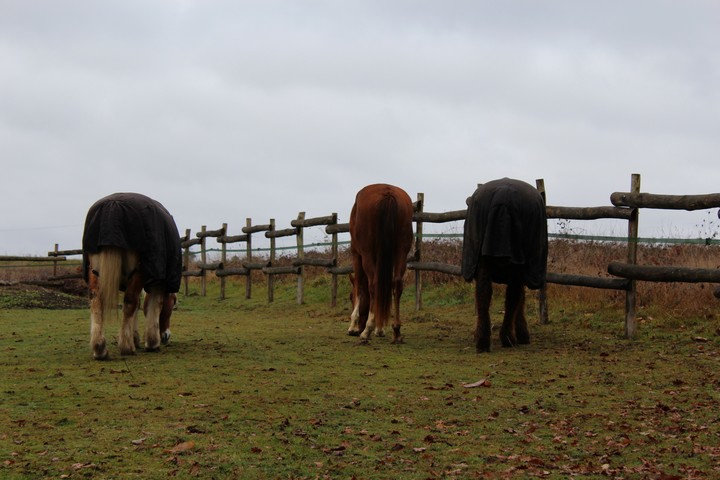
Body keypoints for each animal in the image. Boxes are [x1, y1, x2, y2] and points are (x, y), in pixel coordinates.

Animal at [82, 193, 183, 358]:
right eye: (173, 303)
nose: (166, 336)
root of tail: (113, 206)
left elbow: (139, 306)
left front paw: (135, 338)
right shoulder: (158, 279)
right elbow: (154, 304)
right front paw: (151, 342)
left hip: (94, 272)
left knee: (96, 301)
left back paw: (100, 348)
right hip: (139, 271)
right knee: (130, 301)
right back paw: (126, 347)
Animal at [348, 182, 414, 344]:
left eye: (350, 297)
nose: (357, 328)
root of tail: (388, 192)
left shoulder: (356, 254)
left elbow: (360, 287)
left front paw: (354, 326)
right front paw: (380, 328)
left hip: (366, 254)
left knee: (374, 284)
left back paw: (366, 331)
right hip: (401, 252)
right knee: (396, 284)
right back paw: (396, 331)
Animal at [464, 178, 548, 350]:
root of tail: (502, 195)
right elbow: (519, 298)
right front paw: (522, 333)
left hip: (484, 260)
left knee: (484, 293)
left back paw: (483, 340)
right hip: (516, 263)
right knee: (512, 296)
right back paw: (507, 337)